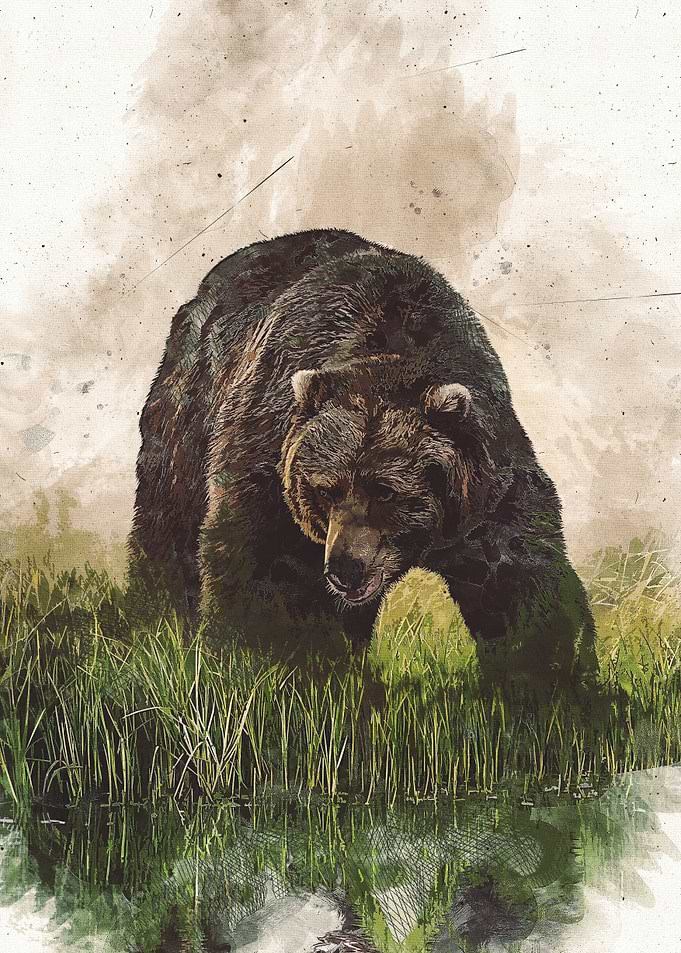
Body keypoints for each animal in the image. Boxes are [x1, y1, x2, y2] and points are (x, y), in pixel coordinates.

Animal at [128, 227, 598, 694]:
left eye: (386, 490)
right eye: (324, 489)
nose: (345, 569)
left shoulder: (489, 487)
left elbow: (517, 577)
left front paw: (544, 678)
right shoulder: (269, 445)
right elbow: (261, 565)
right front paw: (258, 667)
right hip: (190, 403)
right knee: (168, 524)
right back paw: (156, 628)